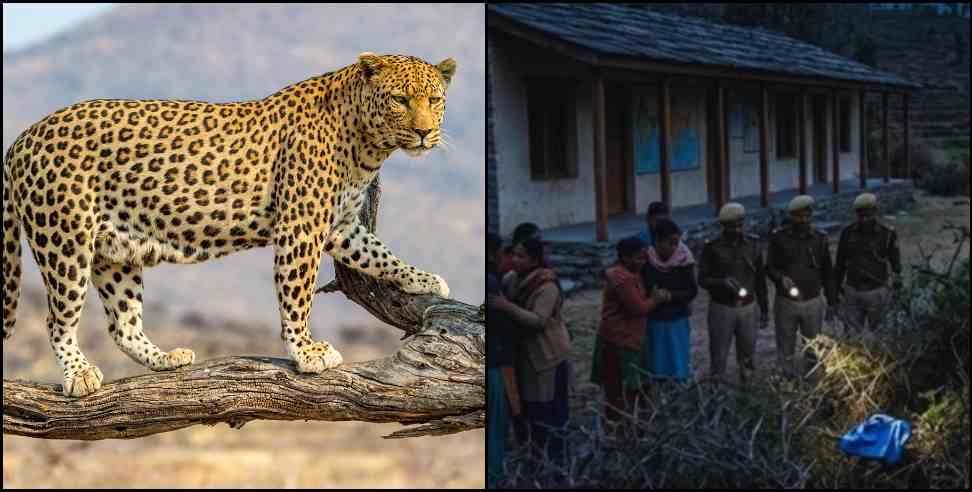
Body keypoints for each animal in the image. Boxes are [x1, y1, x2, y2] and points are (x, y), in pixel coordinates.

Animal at [1, 52, 456, 397]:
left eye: (434, 99)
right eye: (400, 99)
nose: (424, 133)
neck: (367, 146)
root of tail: (23, 137)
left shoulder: (341, 226)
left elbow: (380, 254)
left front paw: (424, 279)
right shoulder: (301, 227)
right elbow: (297, 295)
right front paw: (305, 352)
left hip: (116, 252)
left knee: (122, 324)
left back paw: (166, 360)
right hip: (65, 241)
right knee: (57, 320)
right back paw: (79, 374)